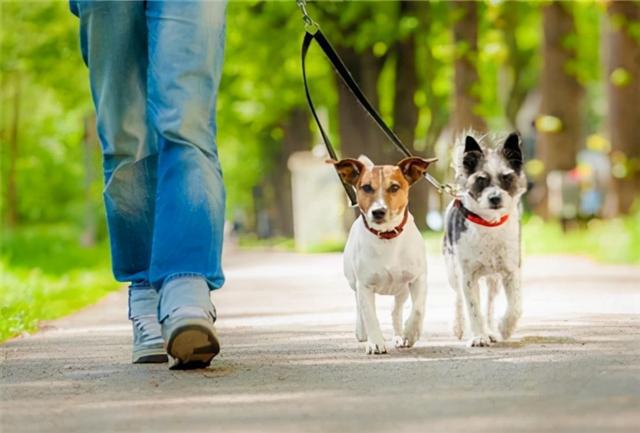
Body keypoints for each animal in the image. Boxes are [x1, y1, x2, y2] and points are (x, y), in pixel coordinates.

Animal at [328, 154, 438, 352]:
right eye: (366, 187)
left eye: (394, 187)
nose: (378, 211)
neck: (387, 237)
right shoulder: (364, 285)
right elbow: (370, 316)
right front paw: (375, 342)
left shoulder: (418, 278)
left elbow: (418, 309)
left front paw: (410, 333)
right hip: (353, 282)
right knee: (359, 306)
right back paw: (362, 331)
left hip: (402, 289)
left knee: (396, 311)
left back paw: (399, 336)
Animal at [442, 132, 528, 348]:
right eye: (481, 180)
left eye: (506, 177)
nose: (495, 198)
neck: (489, 223)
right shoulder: (467, 276)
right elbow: (473, 308)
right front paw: (478, 336)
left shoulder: (511, 271)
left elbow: (516, 306)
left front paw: (504, 328)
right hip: (452, 270)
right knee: (459, 298)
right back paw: (460, 326)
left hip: (493, 280)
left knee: (489, 305)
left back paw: (490, 330)